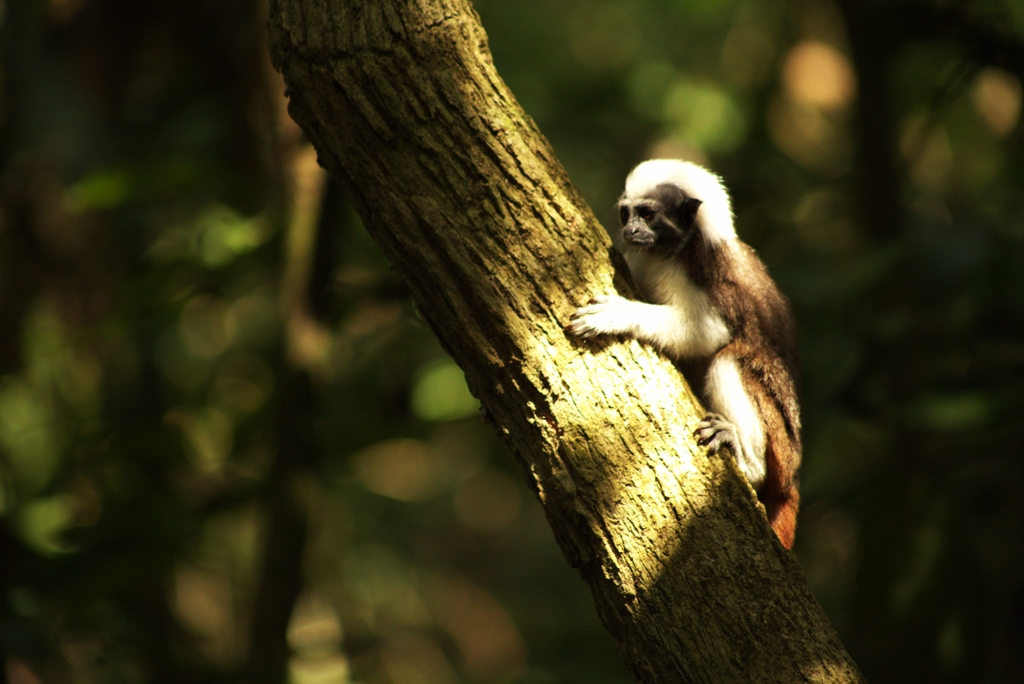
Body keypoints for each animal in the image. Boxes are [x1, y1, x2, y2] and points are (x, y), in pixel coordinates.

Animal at [567, 159, 801, 549]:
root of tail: (792, 479)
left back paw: (748, 462)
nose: (630, 230)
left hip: (780, 445)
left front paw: (618, 314)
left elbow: (709, 334)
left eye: (647, 214)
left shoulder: (709, 272)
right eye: (626, 214)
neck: (670, 253)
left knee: (728, 359)